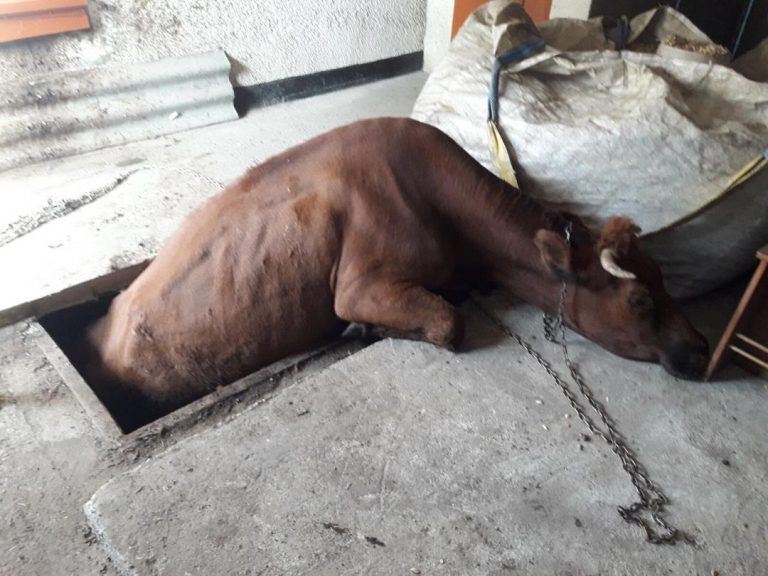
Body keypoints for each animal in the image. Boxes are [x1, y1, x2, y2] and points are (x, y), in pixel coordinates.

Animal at [86, 118, 709, 423]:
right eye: (639, 301)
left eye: (663, 277)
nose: (703, 349)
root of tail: (106, 324)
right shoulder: (362, 284)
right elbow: (447, 323)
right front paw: (361, 330)